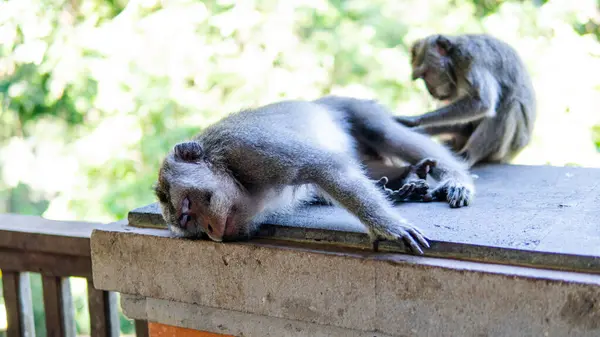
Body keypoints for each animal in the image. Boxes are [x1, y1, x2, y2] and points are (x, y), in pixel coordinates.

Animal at [154, 96, 474, 253]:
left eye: (187, 208)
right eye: (189, 224)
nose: (210, 232)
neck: (233, 174)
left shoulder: (248, 148)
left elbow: (325, 167)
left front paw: (388, 226)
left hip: (353, 107)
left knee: (385, 133)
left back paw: (455, 178)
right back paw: (405, 179)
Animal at [396, 33, 536, 167]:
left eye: (425, 74)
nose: (430, 92)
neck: (453, 60)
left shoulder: (469, 59)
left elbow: (482, 103)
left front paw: (415, 120)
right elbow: (466, 122)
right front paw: (417, 129)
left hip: (507, 149)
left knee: (509, 105)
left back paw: (467, 156)